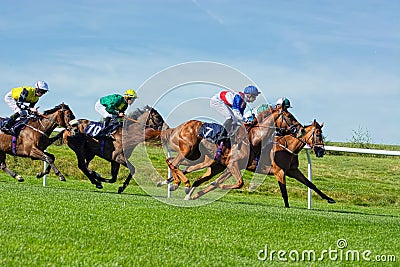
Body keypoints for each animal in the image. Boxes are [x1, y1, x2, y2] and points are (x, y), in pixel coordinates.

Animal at [159, 105, 304, 196]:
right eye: (290, 116)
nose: (301, 129)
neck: (253, 139)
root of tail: (180, 126)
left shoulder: (234, 166)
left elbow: (236, 182)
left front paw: (216, 185)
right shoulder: (233, 164)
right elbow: (240, 183)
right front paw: (218, 185)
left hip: (198, 157)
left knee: (172, 162)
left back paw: (174, 183)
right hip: (187, 150)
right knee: (174, 163)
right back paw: (184, 184)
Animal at [189, 119, 336, 209]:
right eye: (318, 134)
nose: (321, 151)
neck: (287, 147)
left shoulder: (293, 171)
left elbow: (311, 184)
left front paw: (329, 199)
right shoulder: (279, 171)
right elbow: (284, 190)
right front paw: (287, 207)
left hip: (224, 166)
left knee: (212, 180)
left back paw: (195, 193)